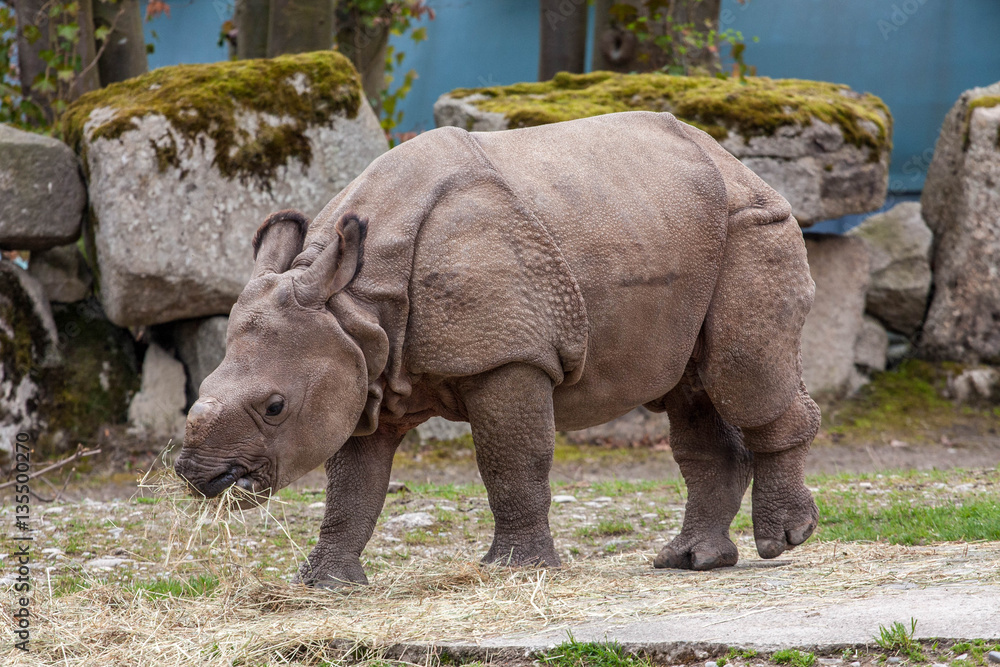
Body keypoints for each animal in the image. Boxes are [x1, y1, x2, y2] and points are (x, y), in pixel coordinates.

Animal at [175, 111, 821, 587]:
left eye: (275, 407)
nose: (197, 477)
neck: (354, 303)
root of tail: (735, 162)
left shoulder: (507, 355)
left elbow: (511, 460)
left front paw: (517, 570)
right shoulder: (360, 367)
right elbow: (353, 486)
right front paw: (322, 584)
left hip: (751, 225)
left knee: (741, 374)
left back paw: (783, 540)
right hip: (669, 220)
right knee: (691, 389)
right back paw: (689, 562)